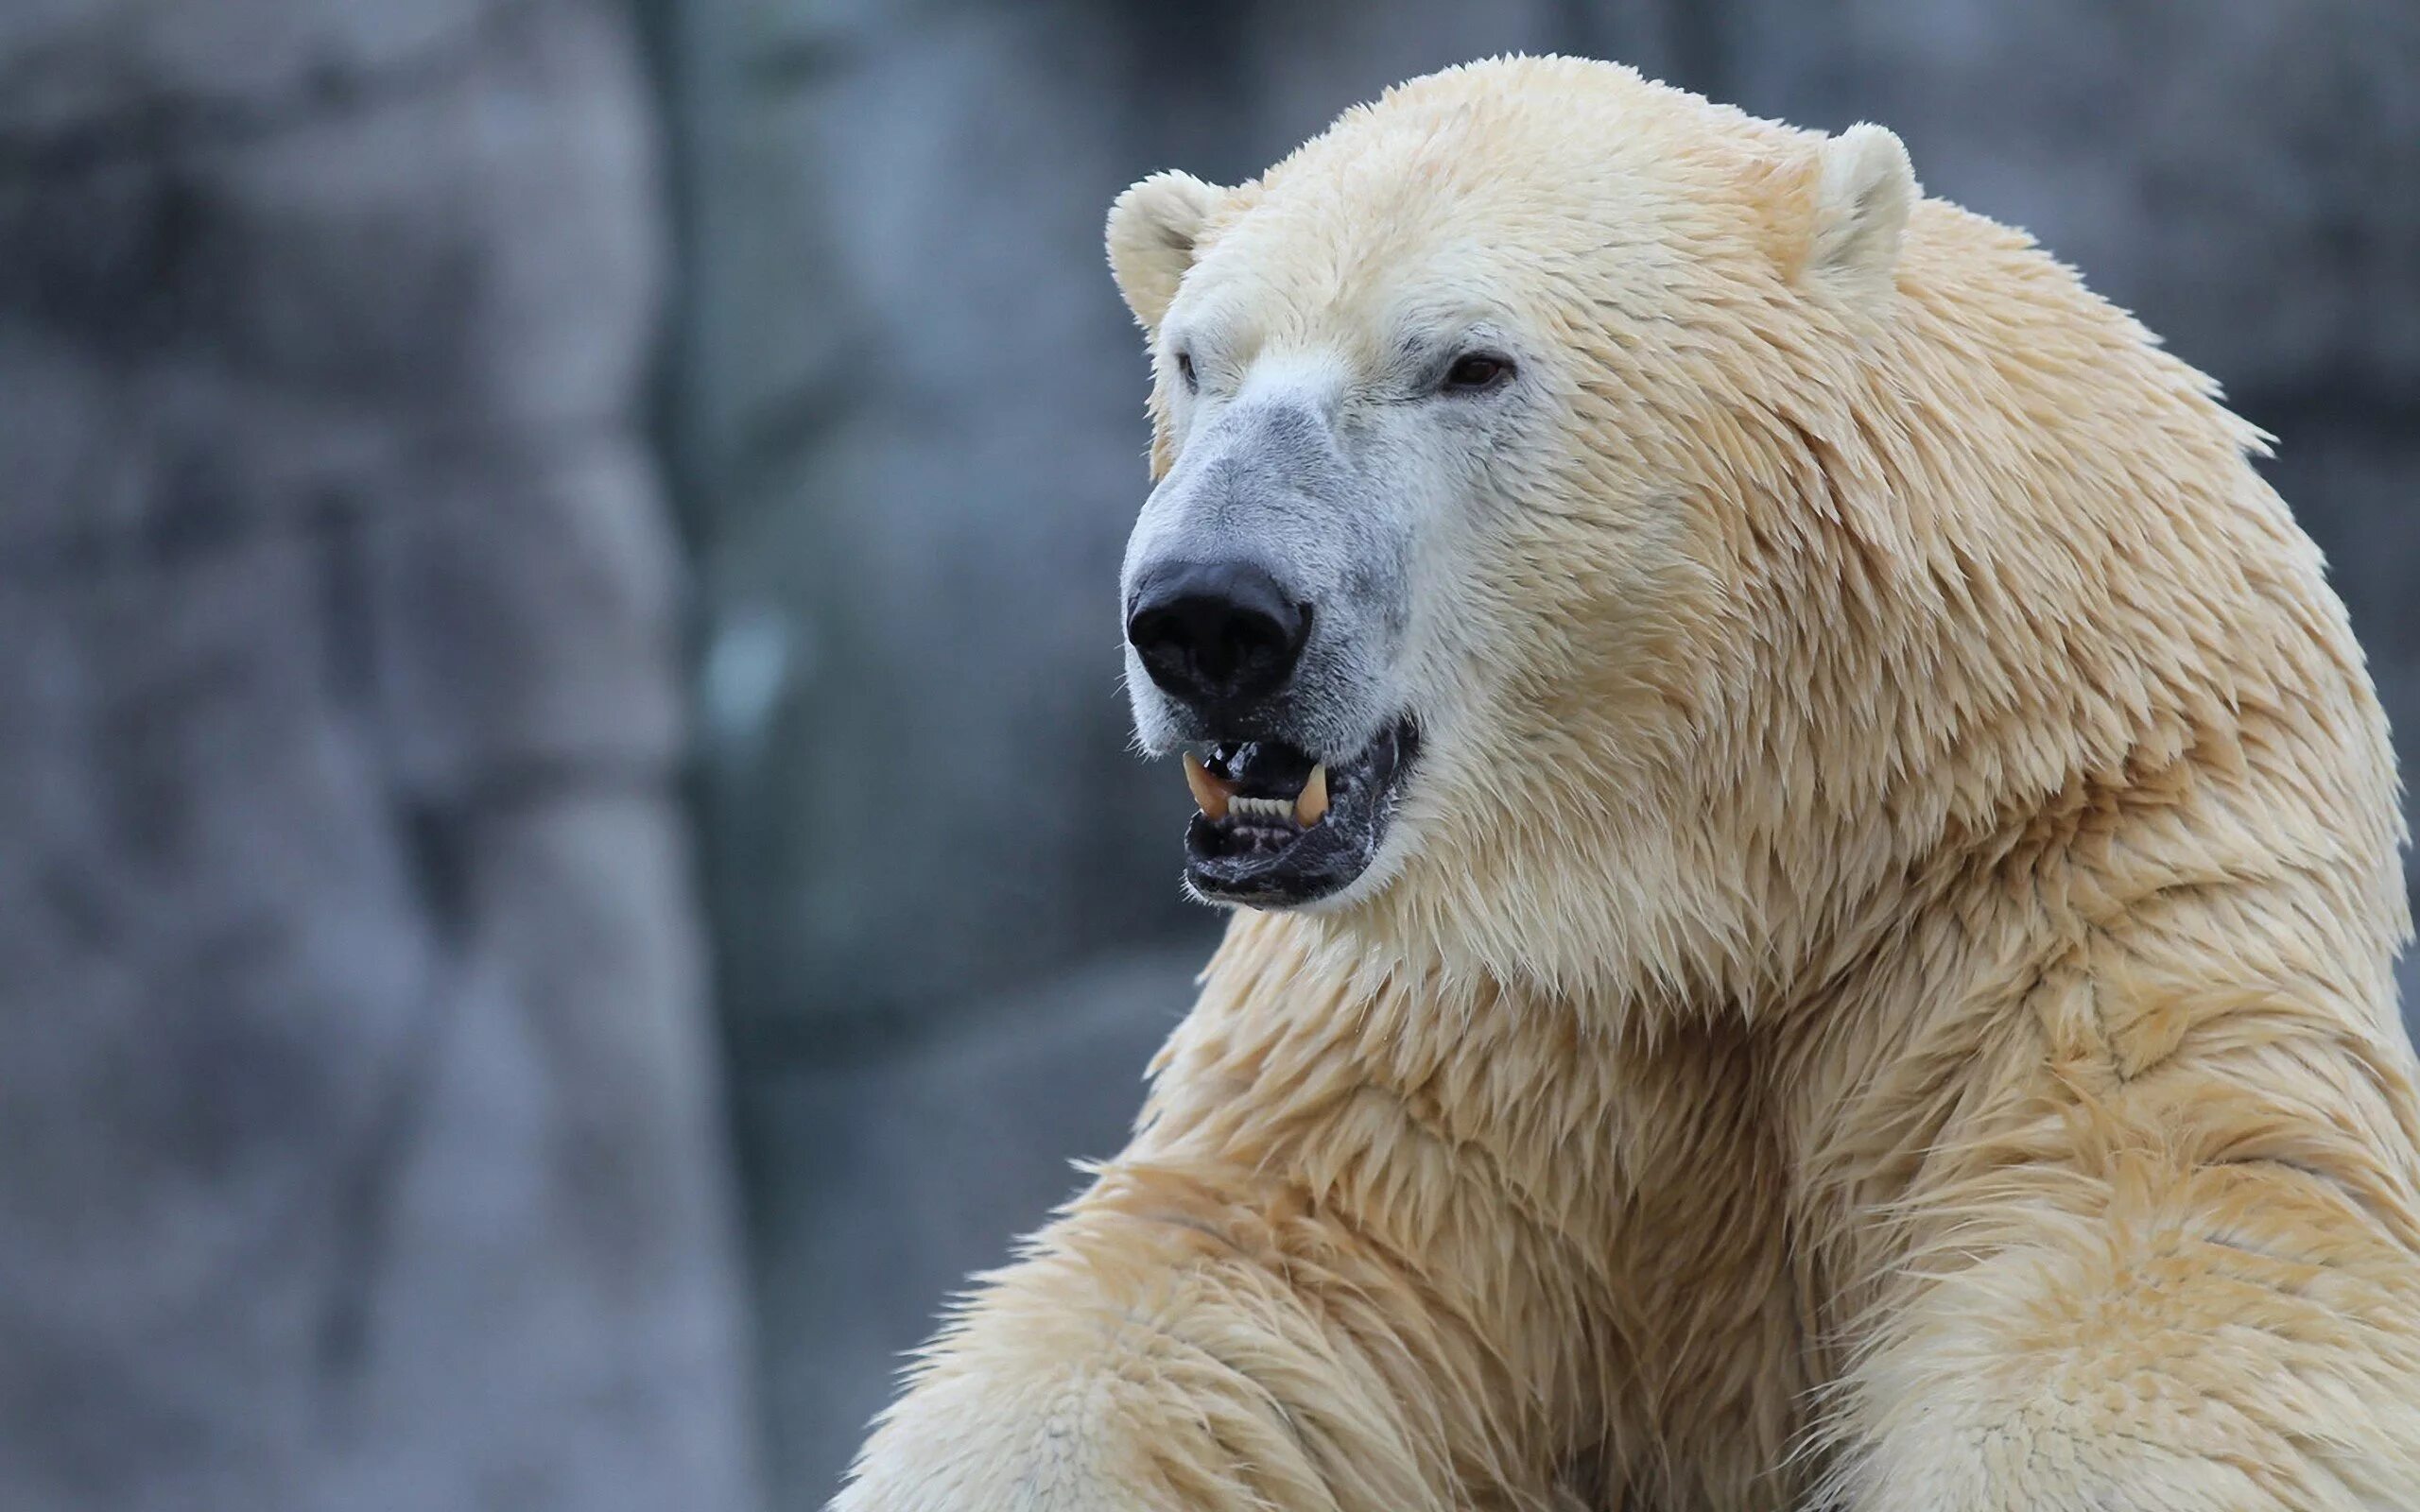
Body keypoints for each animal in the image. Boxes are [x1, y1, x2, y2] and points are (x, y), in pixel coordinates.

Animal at [832, 53, 2420, 1500]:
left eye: (1467, 363)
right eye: (1191, 359)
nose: (1211, 616)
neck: (1718, 839)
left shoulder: (2068, 854)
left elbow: (2163, 1247)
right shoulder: (1469, 1015)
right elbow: (1233, 1299)